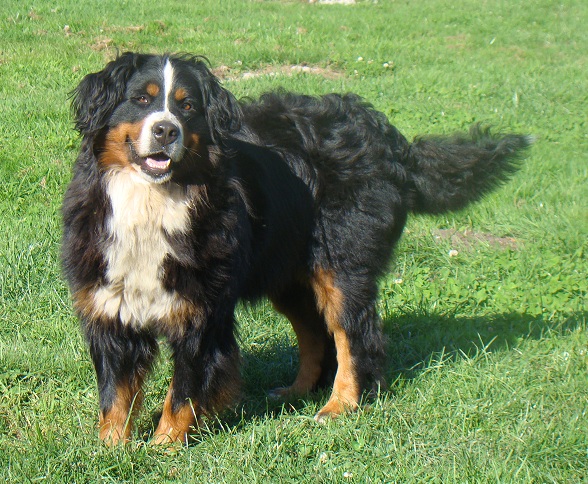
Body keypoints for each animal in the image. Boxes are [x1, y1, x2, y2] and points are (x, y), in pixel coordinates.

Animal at [62, 53, 532, 446]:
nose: (165, 129)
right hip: (289, 273)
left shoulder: (203, 313)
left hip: (341, 263)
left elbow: (184, 390)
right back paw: (295, 392)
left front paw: (164, 447)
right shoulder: (111, 304)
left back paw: (339, 405)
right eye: (140, 99)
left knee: (354, 333)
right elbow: (116, 392)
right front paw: (111, 450)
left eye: (187, 106)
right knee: (313, 332)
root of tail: (391, 141)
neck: (152, 201)